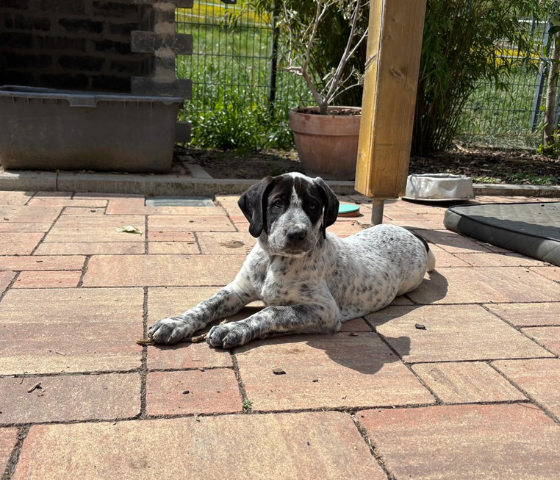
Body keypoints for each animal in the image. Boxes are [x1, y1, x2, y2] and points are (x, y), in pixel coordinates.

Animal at [148, 173, 435, 348]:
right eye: (277, 204)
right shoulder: (236, 290)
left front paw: (234, 328)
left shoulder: (324, 310)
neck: (274, 261)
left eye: (313, 205)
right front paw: (175, 322)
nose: (297, 234)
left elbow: (272, 311)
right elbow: (206, 304)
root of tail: (411, 233)